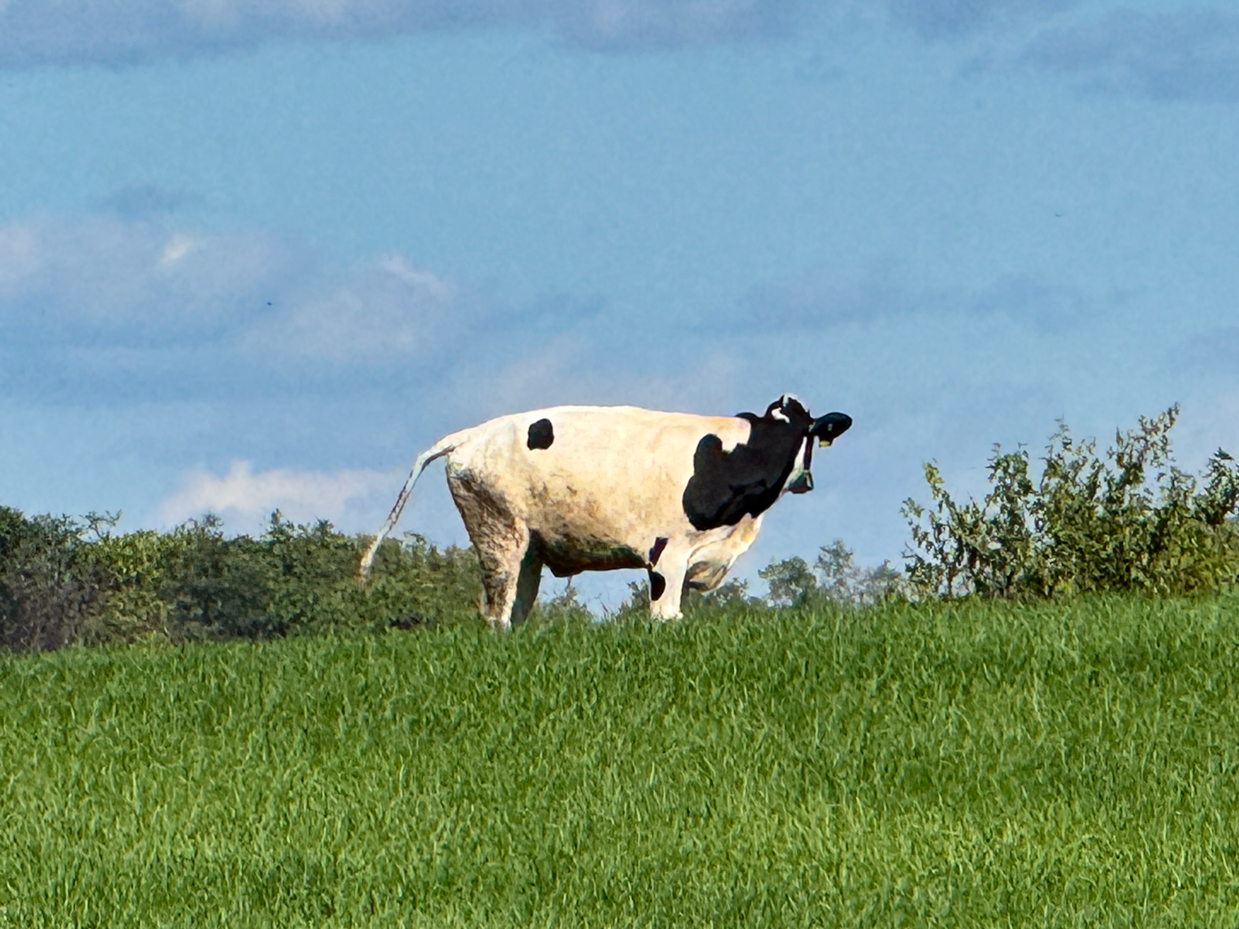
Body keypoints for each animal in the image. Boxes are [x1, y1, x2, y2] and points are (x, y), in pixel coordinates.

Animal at [359, 396, 852, 629]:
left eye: (807, 430)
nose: (807, 483)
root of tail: (469, 436)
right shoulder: (667, 554)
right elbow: (666, 617)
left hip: (529, 552)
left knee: (514, 614)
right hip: (501, 537)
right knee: (498, 616)